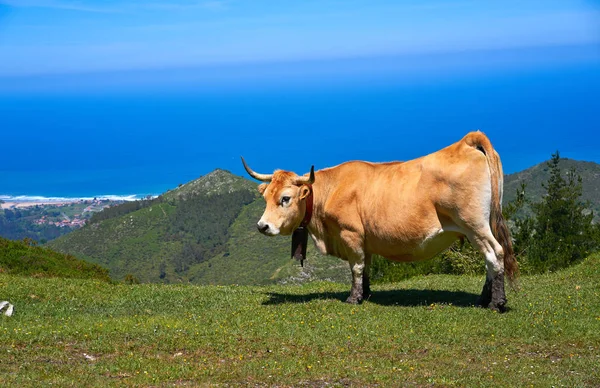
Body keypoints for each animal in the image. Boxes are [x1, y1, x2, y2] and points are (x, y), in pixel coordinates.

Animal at [241, 131, 516, 312]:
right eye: (265, 197)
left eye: (285, 198)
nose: (262, 226)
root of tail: (466, 142)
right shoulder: (365, 239)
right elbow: (366, 266)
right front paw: (366, 293)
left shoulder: (350, 233)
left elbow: (356, 267)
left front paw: (353, 298)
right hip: (478, 227)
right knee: (489, 259)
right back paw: (483, 299)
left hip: (475, 225)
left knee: (495, 254)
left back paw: (496, 302)